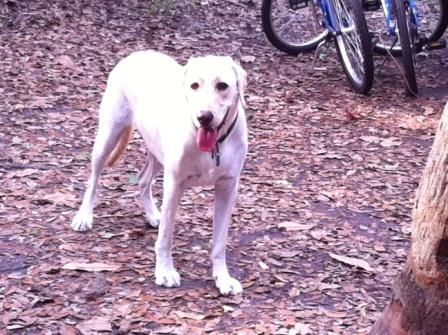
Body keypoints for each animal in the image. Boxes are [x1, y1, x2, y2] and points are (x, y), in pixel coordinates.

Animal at [72, 49, 250, 294]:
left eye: (222, 85)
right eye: (194, 85)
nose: (204, 117)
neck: (214, 145)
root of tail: (136, 53)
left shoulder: (228, 188)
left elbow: (220, 242)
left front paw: (222, 278)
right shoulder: (174, 185)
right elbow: (166, 237)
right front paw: (165, 271)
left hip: (156, 151)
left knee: (142, 180)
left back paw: (152, 214)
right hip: (107, 137)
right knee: (93, 179)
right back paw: (84, 216)